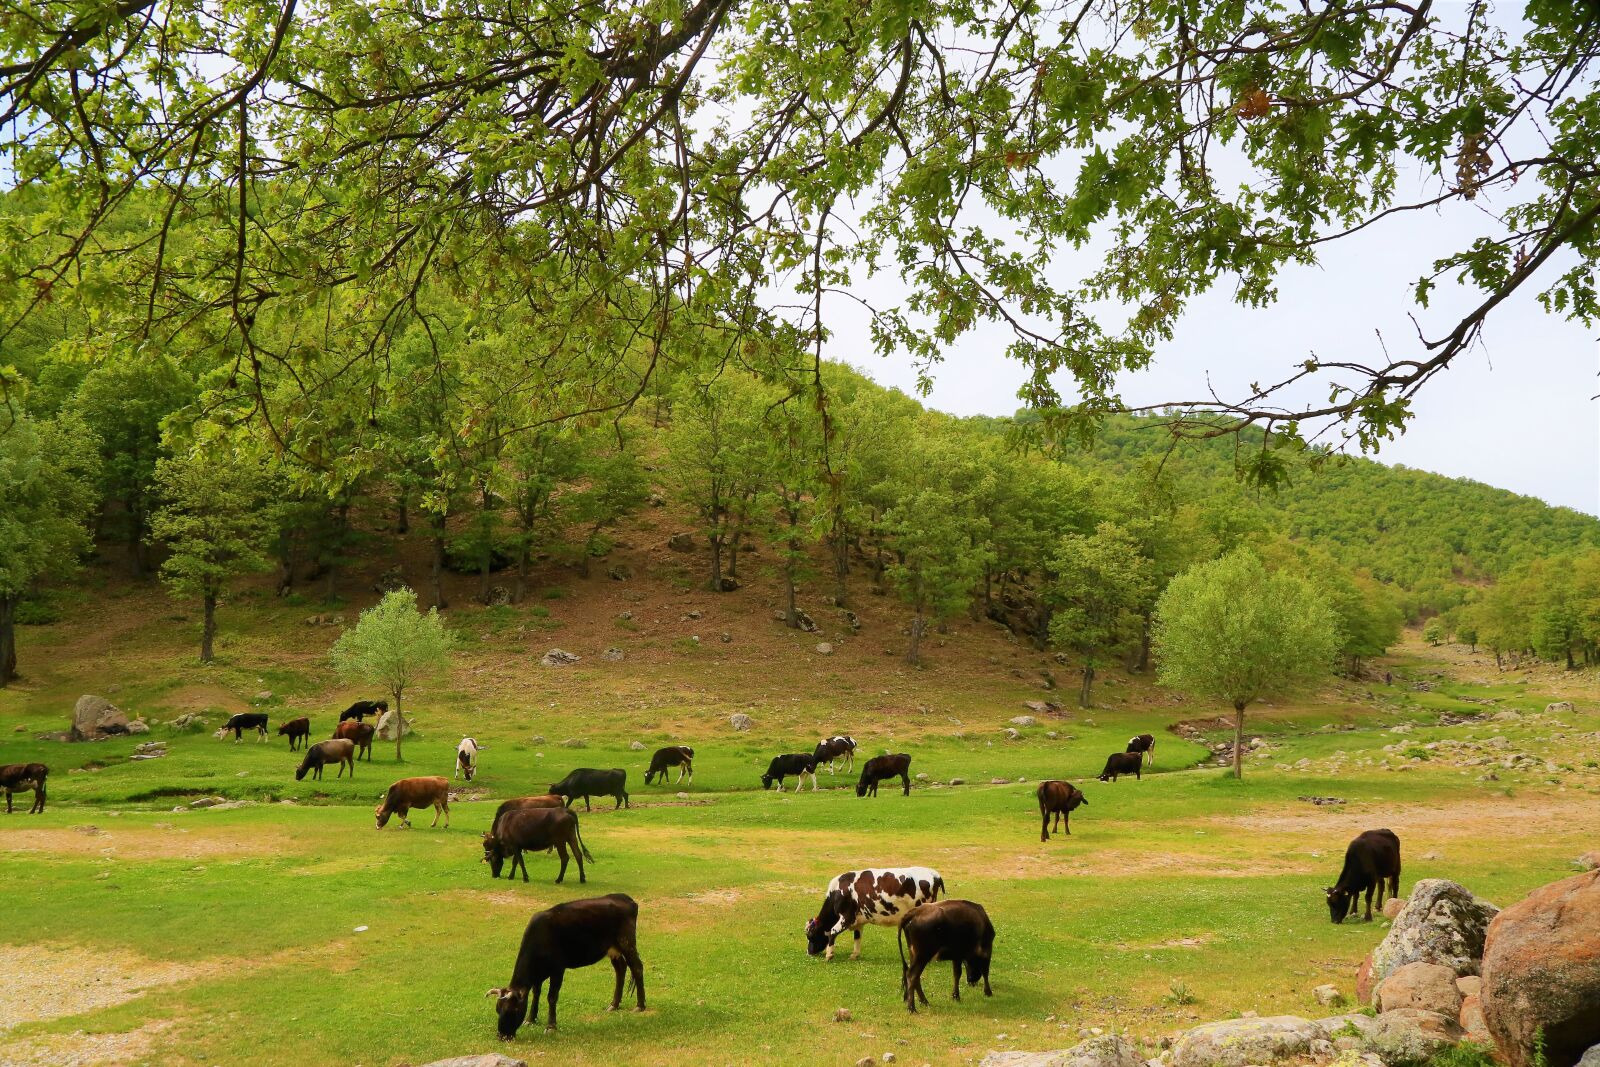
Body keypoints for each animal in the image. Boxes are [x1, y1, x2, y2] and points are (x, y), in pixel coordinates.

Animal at [486, 893, 644, 1036]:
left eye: (513, 1010)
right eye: (498, 1009)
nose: (502, 1036)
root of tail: (625, 898)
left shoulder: (558, 969)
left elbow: (552, 996)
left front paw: (551, 1026)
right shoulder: (538, 973)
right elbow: (536, 993)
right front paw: (530, 1019)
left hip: (627, 942)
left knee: (637, 967)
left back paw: (640, 1006)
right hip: (613, 948)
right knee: (621, 968)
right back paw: (614, 1005)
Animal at [806, 867, 944, 961]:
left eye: (810, 935)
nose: (808, 952)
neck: (837, 892)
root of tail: (935, 874)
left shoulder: (847, 917)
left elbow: (832, 931)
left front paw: (829, 955)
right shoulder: (858, 920)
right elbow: (857, 937)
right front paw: (854, 955)